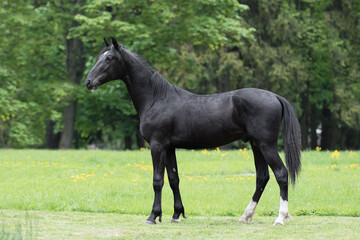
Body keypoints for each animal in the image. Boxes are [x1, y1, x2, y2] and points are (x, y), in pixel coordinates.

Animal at [85, 37, 300, 225]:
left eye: (109, 58)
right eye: (99, 57)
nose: (88, 82)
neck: (157, 98)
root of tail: (275, 96)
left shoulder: (157, 145)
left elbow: (157, 180)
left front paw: (153, 216)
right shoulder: (170, 148)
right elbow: (174, 179)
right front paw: (176, 214)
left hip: (266, 145)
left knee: (281, 174)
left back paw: (280, 218)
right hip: (256, 145)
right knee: (262, 177)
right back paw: (246, 216)